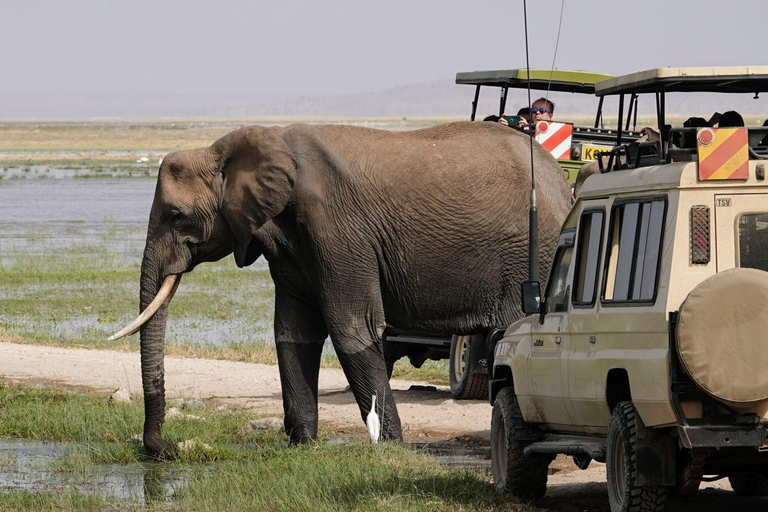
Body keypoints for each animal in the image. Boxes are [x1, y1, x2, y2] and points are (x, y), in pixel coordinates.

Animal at [111, 120, 572, 456]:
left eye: (176, 215)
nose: (166, 449)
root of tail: (562, 182)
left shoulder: (337, 228)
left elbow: (352, 328)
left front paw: (390, 448)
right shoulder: (293, 246)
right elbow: (293, 333)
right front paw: (301, 446)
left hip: (534, 254)